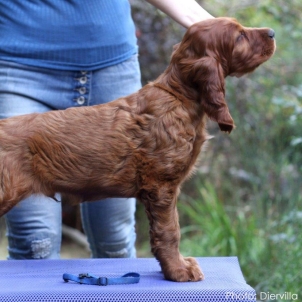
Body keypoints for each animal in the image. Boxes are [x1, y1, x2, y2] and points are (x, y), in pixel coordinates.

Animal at [0, 18, 274, 284]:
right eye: (239, 36)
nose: (272, 33)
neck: (179, 97)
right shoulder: (161, 186)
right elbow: (170, 231)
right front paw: (178, 271)